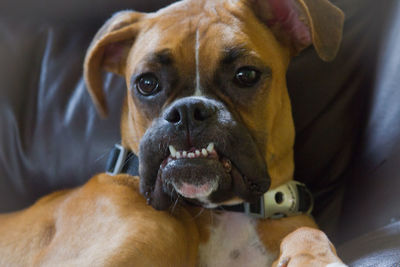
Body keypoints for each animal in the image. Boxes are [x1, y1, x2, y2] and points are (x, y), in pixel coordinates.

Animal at [0, 0, 344, 266]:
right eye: (146, 83)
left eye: (246, 75)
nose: (188, 112)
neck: (220, 213)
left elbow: (307, 232)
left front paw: (314, 257)